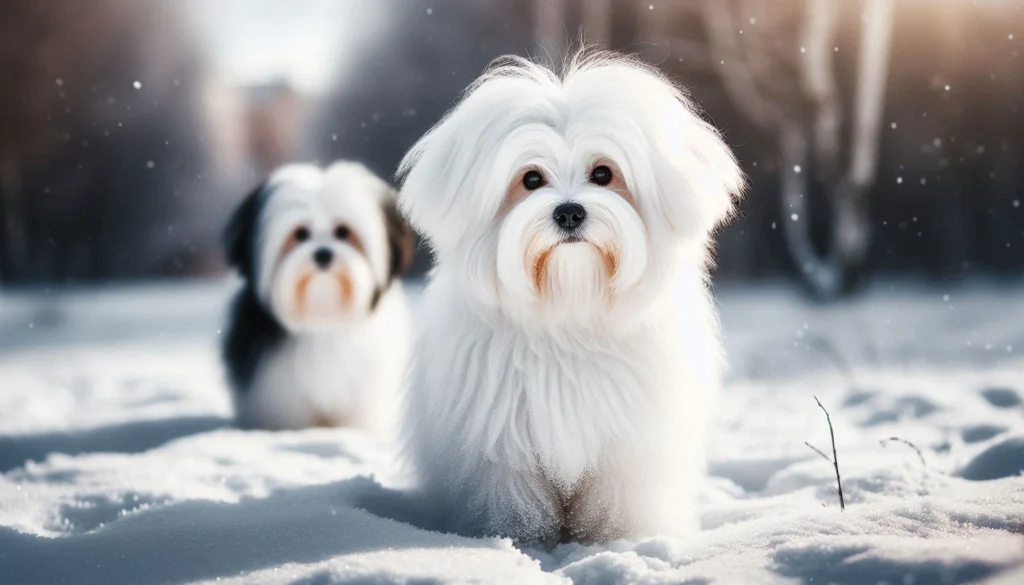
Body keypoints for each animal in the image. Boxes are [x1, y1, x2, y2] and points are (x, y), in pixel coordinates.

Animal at [393, 51, 745, 545]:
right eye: (531, 179)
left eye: (603, 173)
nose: (569, 212)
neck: (570, 306)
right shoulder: (502, 443)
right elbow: (510, 496)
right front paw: (514, 541)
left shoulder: (628, 445)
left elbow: (618, 496)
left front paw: (621, 538)